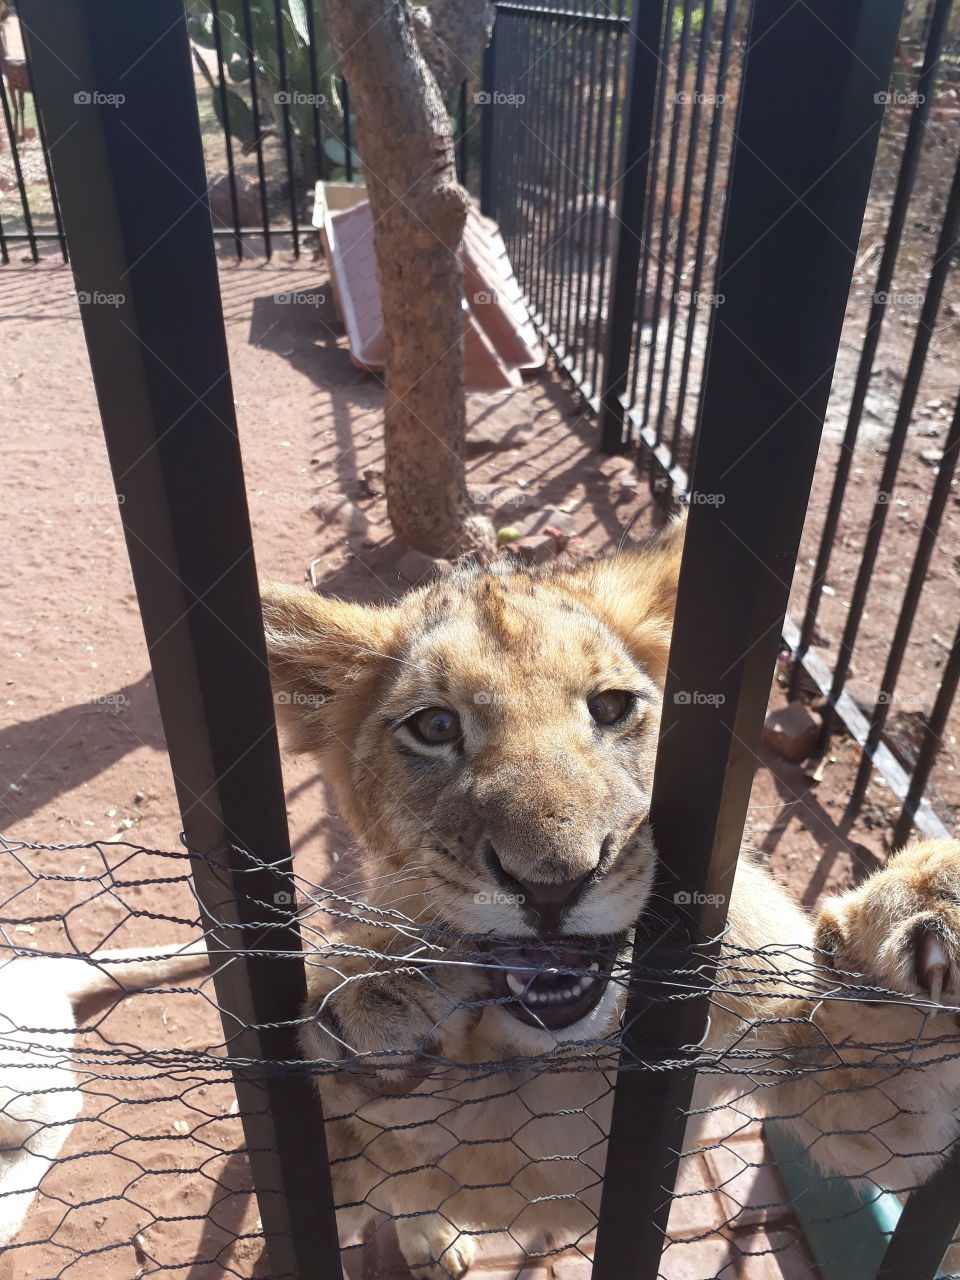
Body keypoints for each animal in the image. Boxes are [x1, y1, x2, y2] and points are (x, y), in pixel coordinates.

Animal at [261, 520, 960, 1279]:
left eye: (611, 707)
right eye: (436, 727)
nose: (552, 882)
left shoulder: (828, 1086)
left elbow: (887, 1108)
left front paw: (935, 902)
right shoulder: (388, 1148)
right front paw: (378, 995)